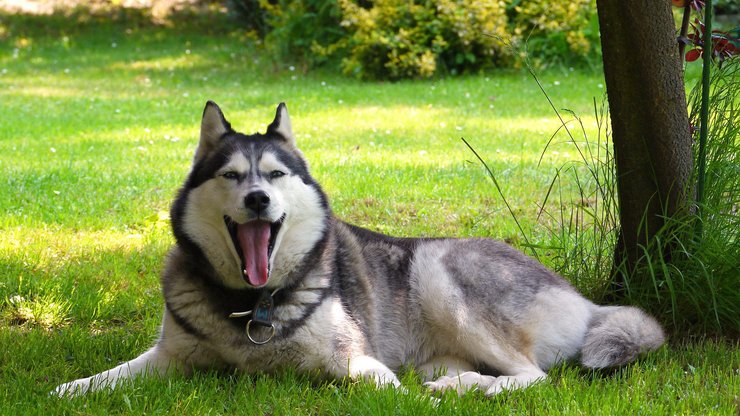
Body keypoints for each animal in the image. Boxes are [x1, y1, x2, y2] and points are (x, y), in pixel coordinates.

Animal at [53, 101, 664, 396]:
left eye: (275, 174)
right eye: (231, 175)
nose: (257, 199)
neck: (251, 307)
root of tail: (586, 300)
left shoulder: (357, 361)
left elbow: (384, 390)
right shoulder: (170, 357)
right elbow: (103, 378)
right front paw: (68, 389)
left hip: (438, 270)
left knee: (534, 377)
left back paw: (467, 387)